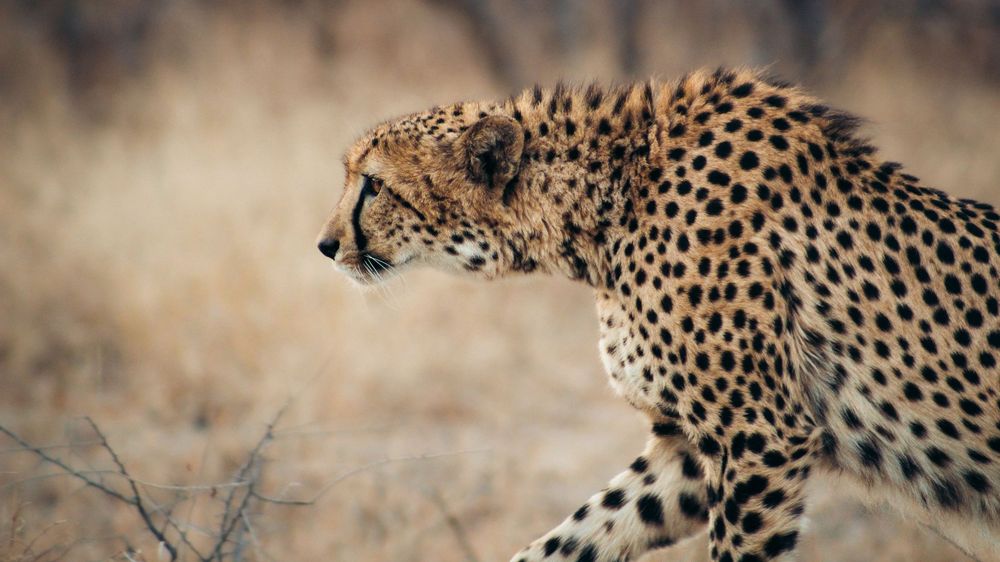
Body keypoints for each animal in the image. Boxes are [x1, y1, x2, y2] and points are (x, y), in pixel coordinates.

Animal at [316, 67, 1000, 561]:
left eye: (373, 184)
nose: (324, 245)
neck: (607, 209)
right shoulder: (690, 451)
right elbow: (578, 536)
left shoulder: (762, 435)